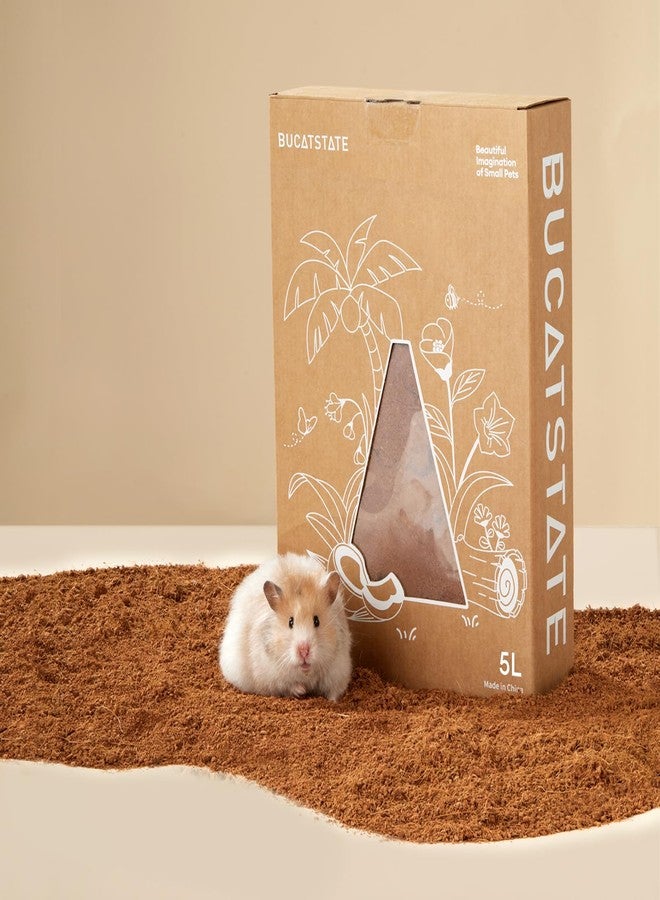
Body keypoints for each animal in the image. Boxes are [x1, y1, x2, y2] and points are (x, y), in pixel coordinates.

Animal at [219, 553, 352, 701]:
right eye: (290, 622)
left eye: (316, 621)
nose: (304, 652)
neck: (306, 673)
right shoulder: (272, 675)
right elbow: (288, 686)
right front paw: (301, 691)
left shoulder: (338, 670)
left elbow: (333, 691)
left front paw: (333, 701)